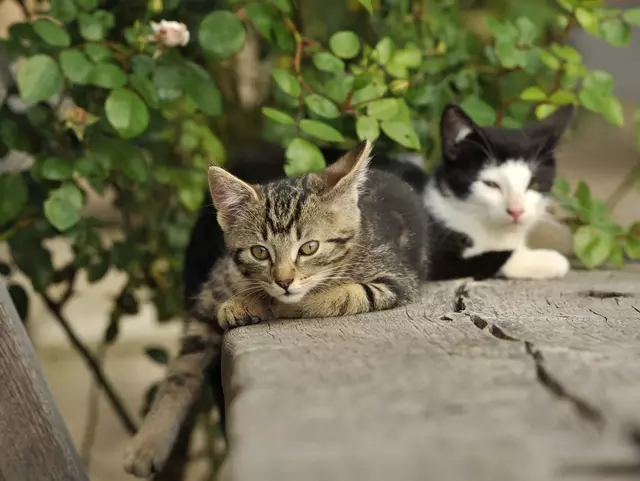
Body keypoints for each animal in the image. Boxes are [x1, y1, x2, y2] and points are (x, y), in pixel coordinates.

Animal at [124, 139, 430, 476]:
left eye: (309, 248)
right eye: (260, 252)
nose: (283, 280)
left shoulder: (393, 281)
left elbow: (327, 296)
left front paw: (253, 303)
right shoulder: (207, 301)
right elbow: (179, 373)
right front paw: (148, 442)